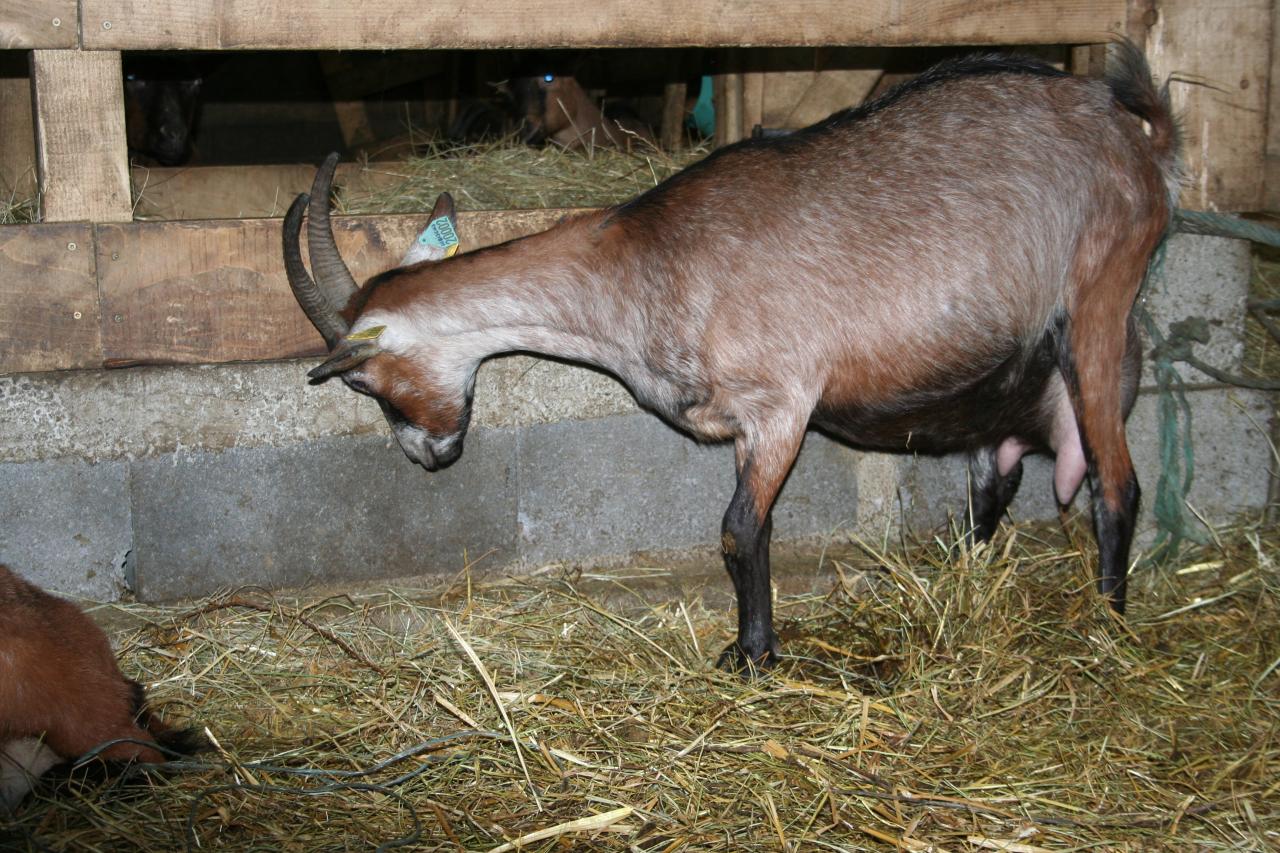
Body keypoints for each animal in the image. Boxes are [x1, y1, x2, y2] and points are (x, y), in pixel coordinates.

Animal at [288, 44, 1177, 671]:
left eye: (366, 379)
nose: (427, 452)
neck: (640, 265)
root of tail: (1134, 135)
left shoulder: (784, 401)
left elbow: (739, 531)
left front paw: (751, 655)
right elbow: (750, 529)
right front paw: (756, 643)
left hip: (1098, 298)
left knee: (1117, 483)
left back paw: (1108, 623)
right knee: (999, 477)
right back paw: (958, 575)